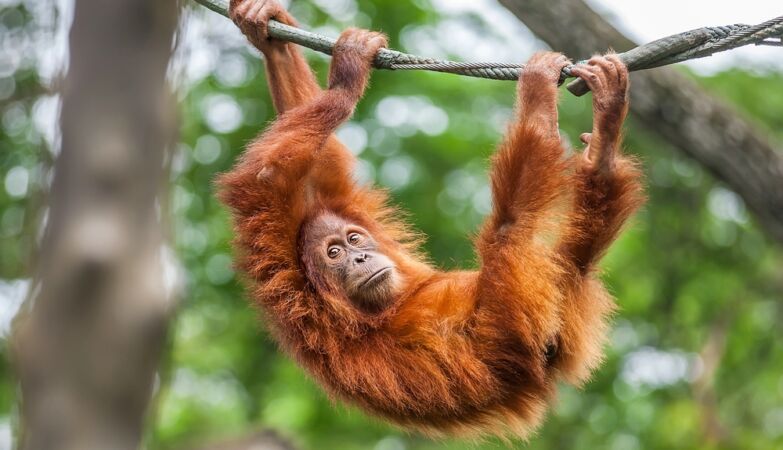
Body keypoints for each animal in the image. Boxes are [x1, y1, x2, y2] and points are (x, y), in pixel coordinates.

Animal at [219, 0, 644, 439]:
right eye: (333, 254)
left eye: (354, 240)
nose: (359, 258)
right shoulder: (288, 282)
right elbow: (265, 178)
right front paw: (347, 76)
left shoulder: (336, 207)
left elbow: (321, 170)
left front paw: (266, 32)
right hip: (518, 307)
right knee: (511, 227)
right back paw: (540, 99)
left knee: (576, 259)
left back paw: (605, 138)